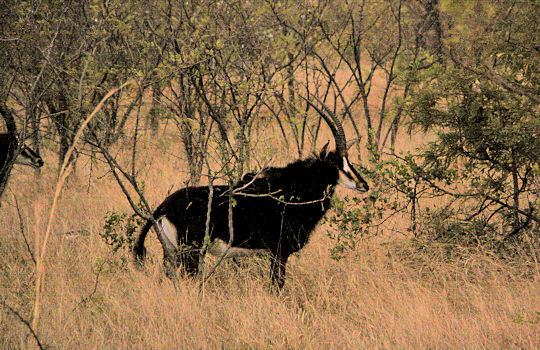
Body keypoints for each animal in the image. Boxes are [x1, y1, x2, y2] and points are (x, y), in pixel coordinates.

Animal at [133, 97, 370, 288]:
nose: (364, 185)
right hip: (189, 252)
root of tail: (163, 206)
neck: (295, 191)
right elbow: (277, 285)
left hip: (171, 252)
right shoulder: (279, 252)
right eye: (336, 163)